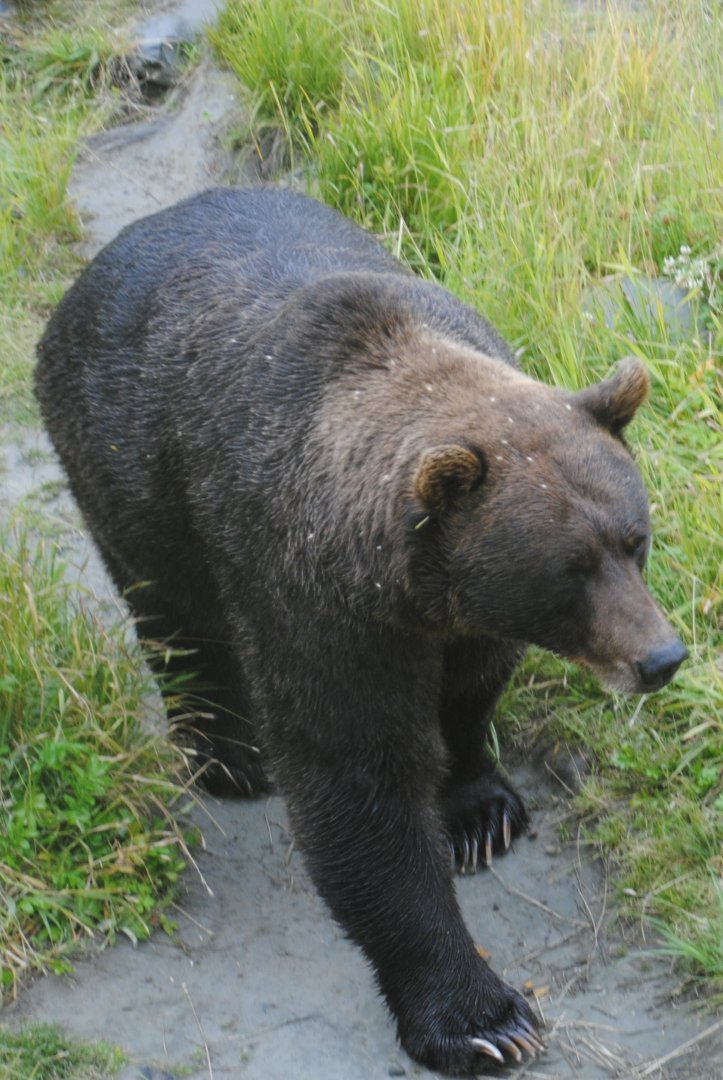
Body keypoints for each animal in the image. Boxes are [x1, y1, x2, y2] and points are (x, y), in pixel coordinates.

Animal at [35, 187, 687, 1075]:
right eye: (570, 568)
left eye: (634, 539)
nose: (660, 657)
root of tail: (96, 269)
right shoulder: (309, 594)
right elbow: (357, 780)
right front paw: (484, 1016)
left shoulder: (458, 609)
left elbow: (467, 691)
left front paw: (478, 811)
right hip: (122, 475)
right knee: (171, 614)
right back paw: (229, 755)